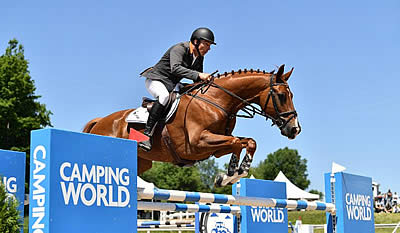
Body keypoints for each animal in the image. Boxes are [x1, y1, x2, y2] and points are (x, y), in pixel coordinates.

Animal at [82, 64, 300, 187]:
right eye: (281, 96)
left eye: (291, 95)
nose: (294, 129)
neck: (216, 101)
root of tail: (101, 121)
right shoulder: (197, 143)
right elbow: (237, 142)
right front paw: (230, 174)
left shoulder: (215, 147)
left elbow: (247, 142)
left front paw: (234, 172)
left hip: (141, 163)